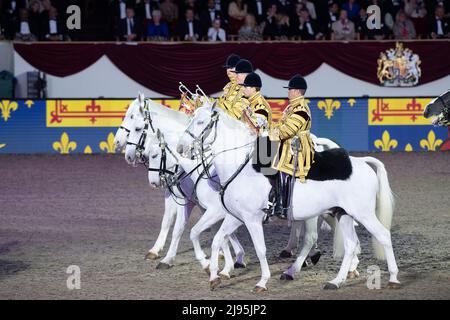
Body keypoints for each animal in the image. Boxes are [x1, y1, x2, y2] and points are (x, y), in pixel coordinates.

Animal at [177, 104, 400, 292]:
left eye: (200, 122)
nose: (181, 148)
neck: (240, 167)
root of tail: (361, 162)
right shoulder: (235, 217)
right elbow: (216, 240)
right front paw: (214, 277)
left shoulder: (252, 219)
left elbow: (260, 249)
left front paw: (262, 282)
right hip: (342, 214)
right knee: (350, 245)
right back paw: (336, 281)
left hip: (363, 214)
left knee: (382, 235)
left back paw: (393, 278)